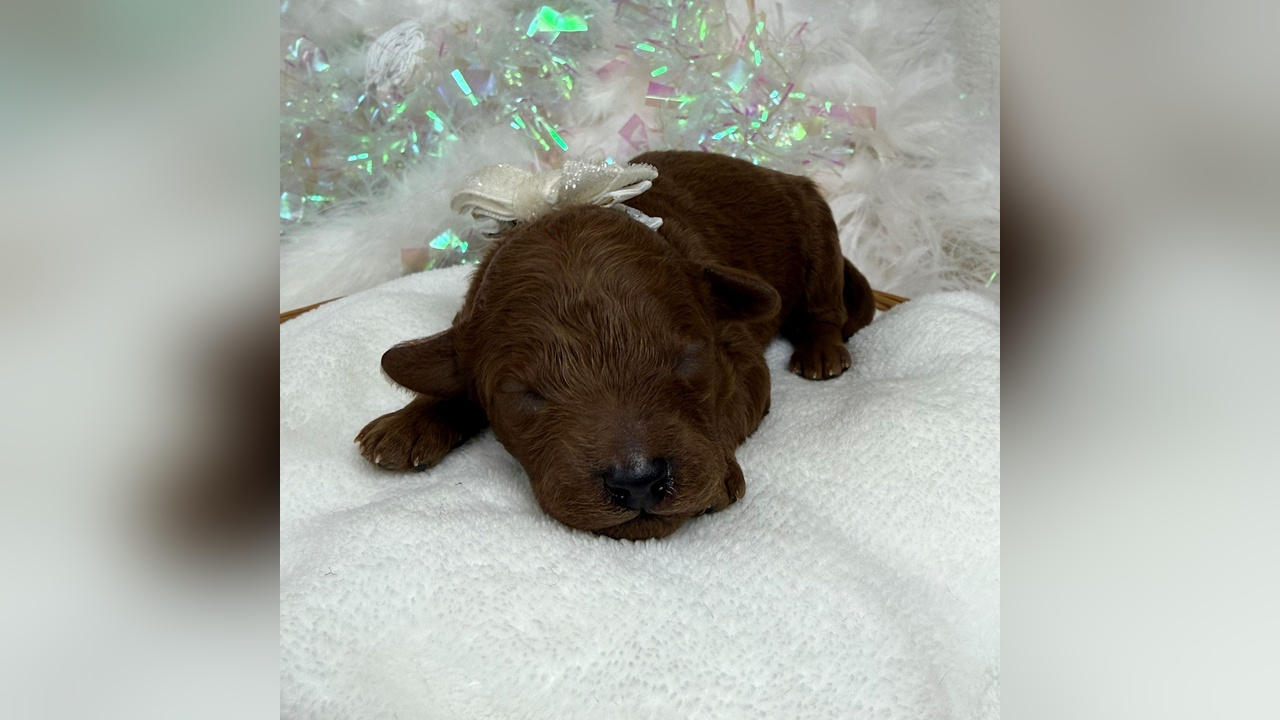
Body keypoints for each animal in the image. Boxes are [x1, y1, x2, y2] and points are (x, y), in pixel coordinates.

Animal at [356, 151, 875, 540]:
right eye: (525, 395)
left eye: (688, 361)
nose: (639, 481)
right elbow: (448, 370)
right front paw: (406, 425)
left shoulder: (741, 356)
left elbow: (733, 402)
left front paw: (720, 473)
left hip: (816, 225)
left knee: (825, 305)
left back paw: (821, 352)